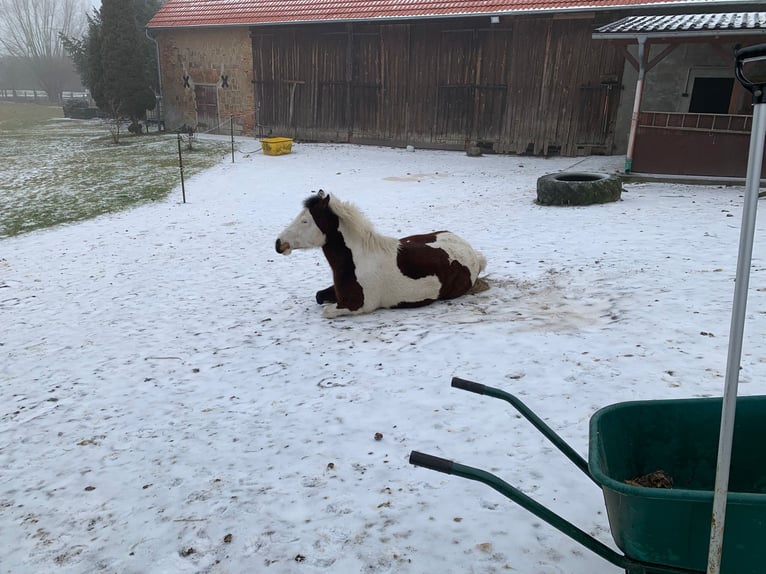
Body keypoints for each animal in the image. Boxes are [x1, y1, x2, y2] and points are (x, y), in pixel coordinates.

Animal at [275, 190, 487, 318]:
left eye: (305, 221)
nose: (279, 244)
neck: (358, 260)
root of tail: (472, 253)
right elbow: (319, 296)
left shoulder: (357, 306)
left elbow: (326, 310)